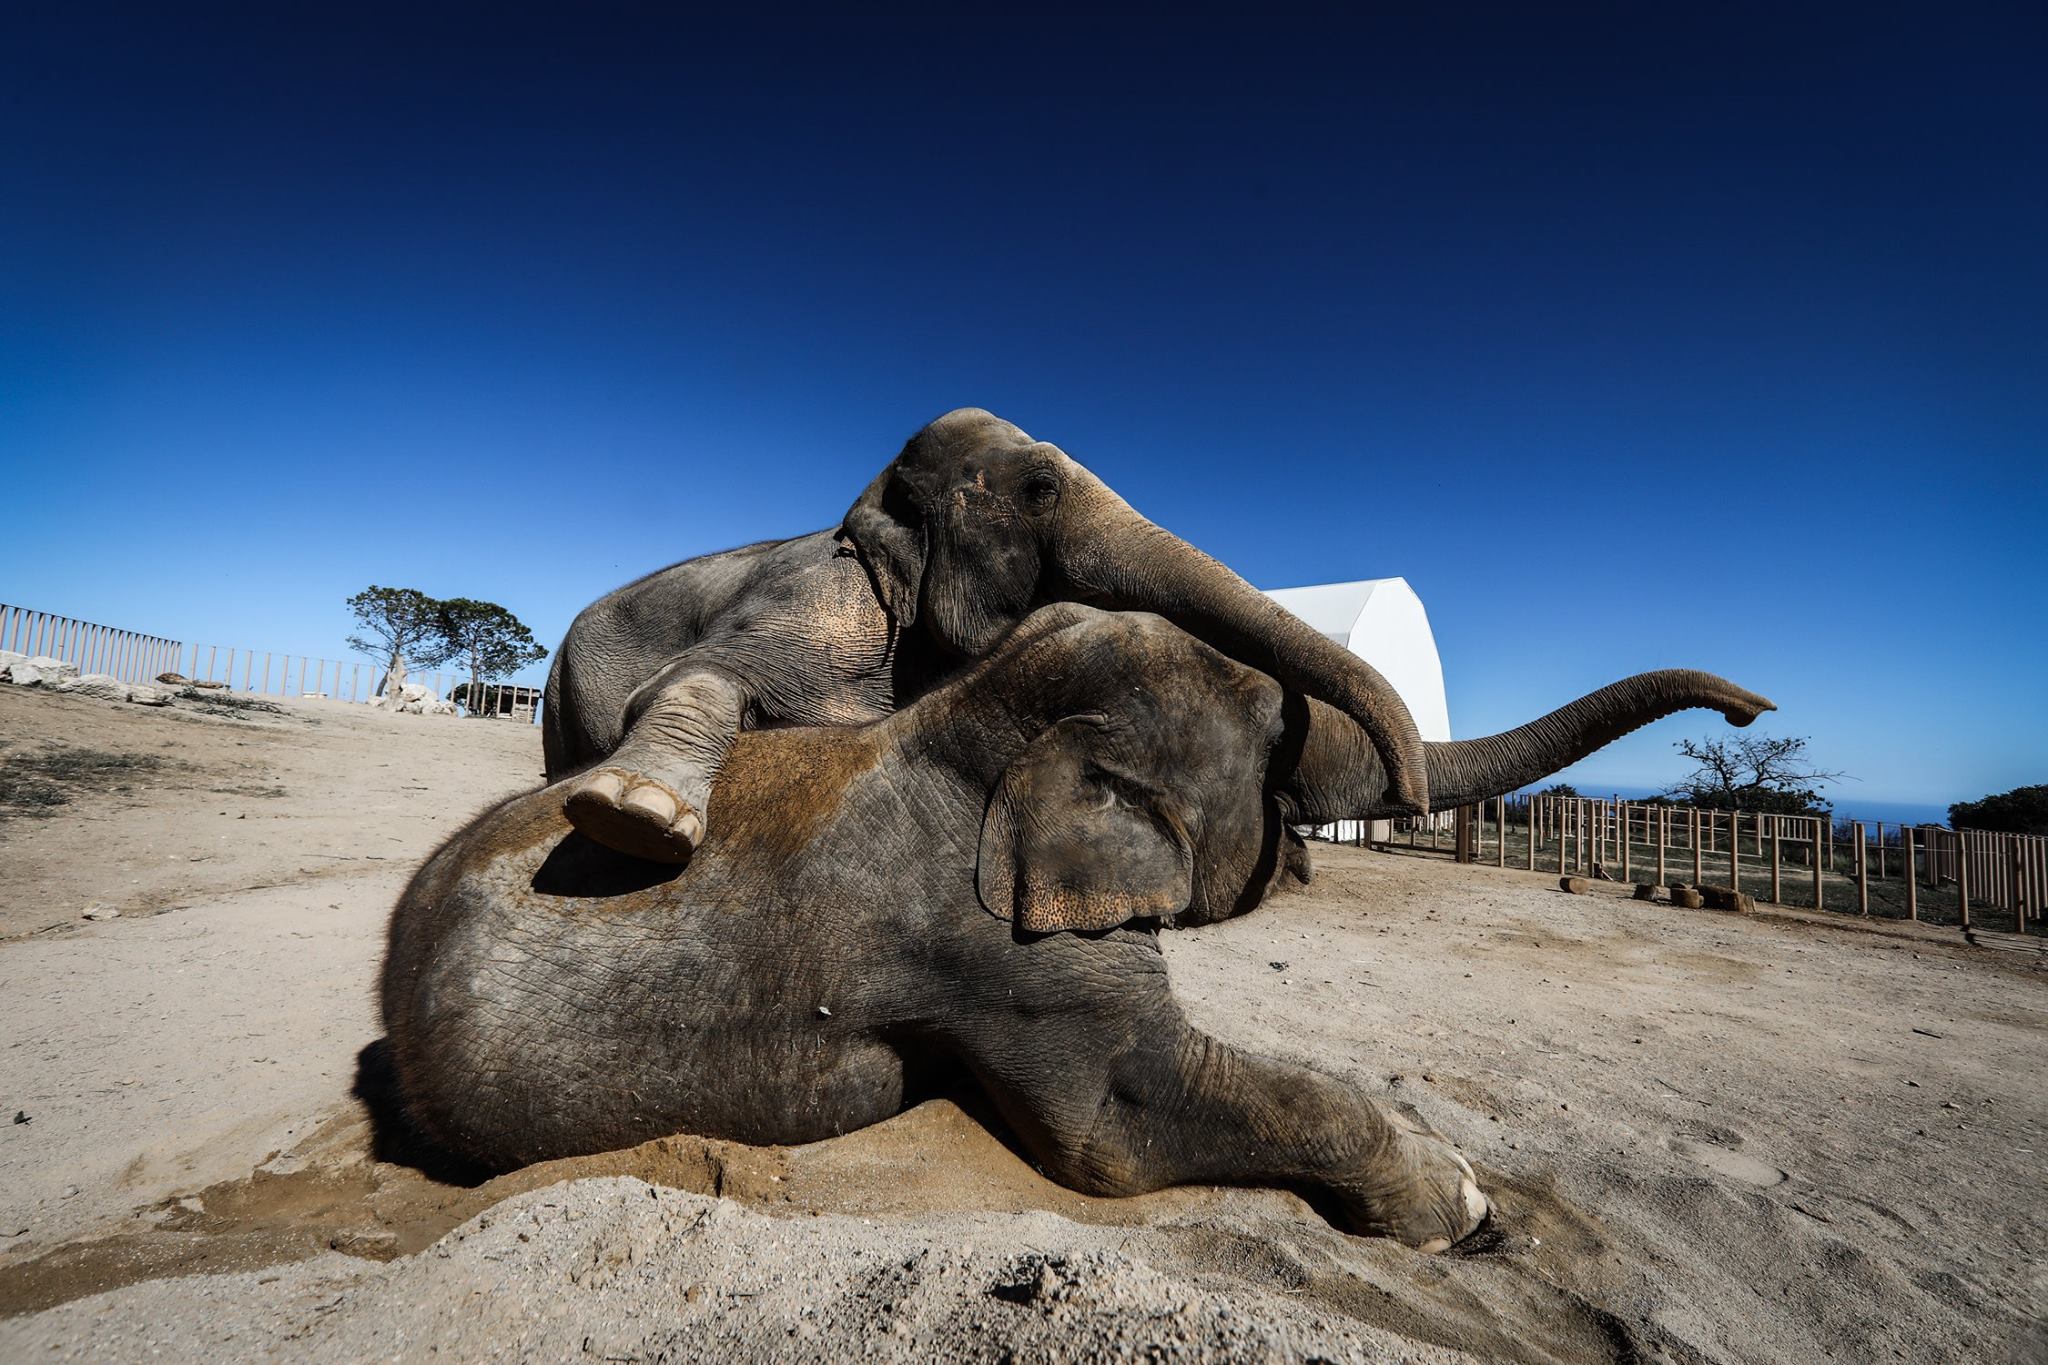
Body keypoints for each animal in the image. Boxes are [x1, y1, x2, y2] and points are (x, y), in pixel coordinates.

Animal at [387, 601, 1777, 1244]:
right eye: (1274, 742)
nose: (1753, 711)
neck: (982, 717)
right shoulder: (996, 951)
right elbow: (1117, 1125)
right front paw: (1459, 1205)